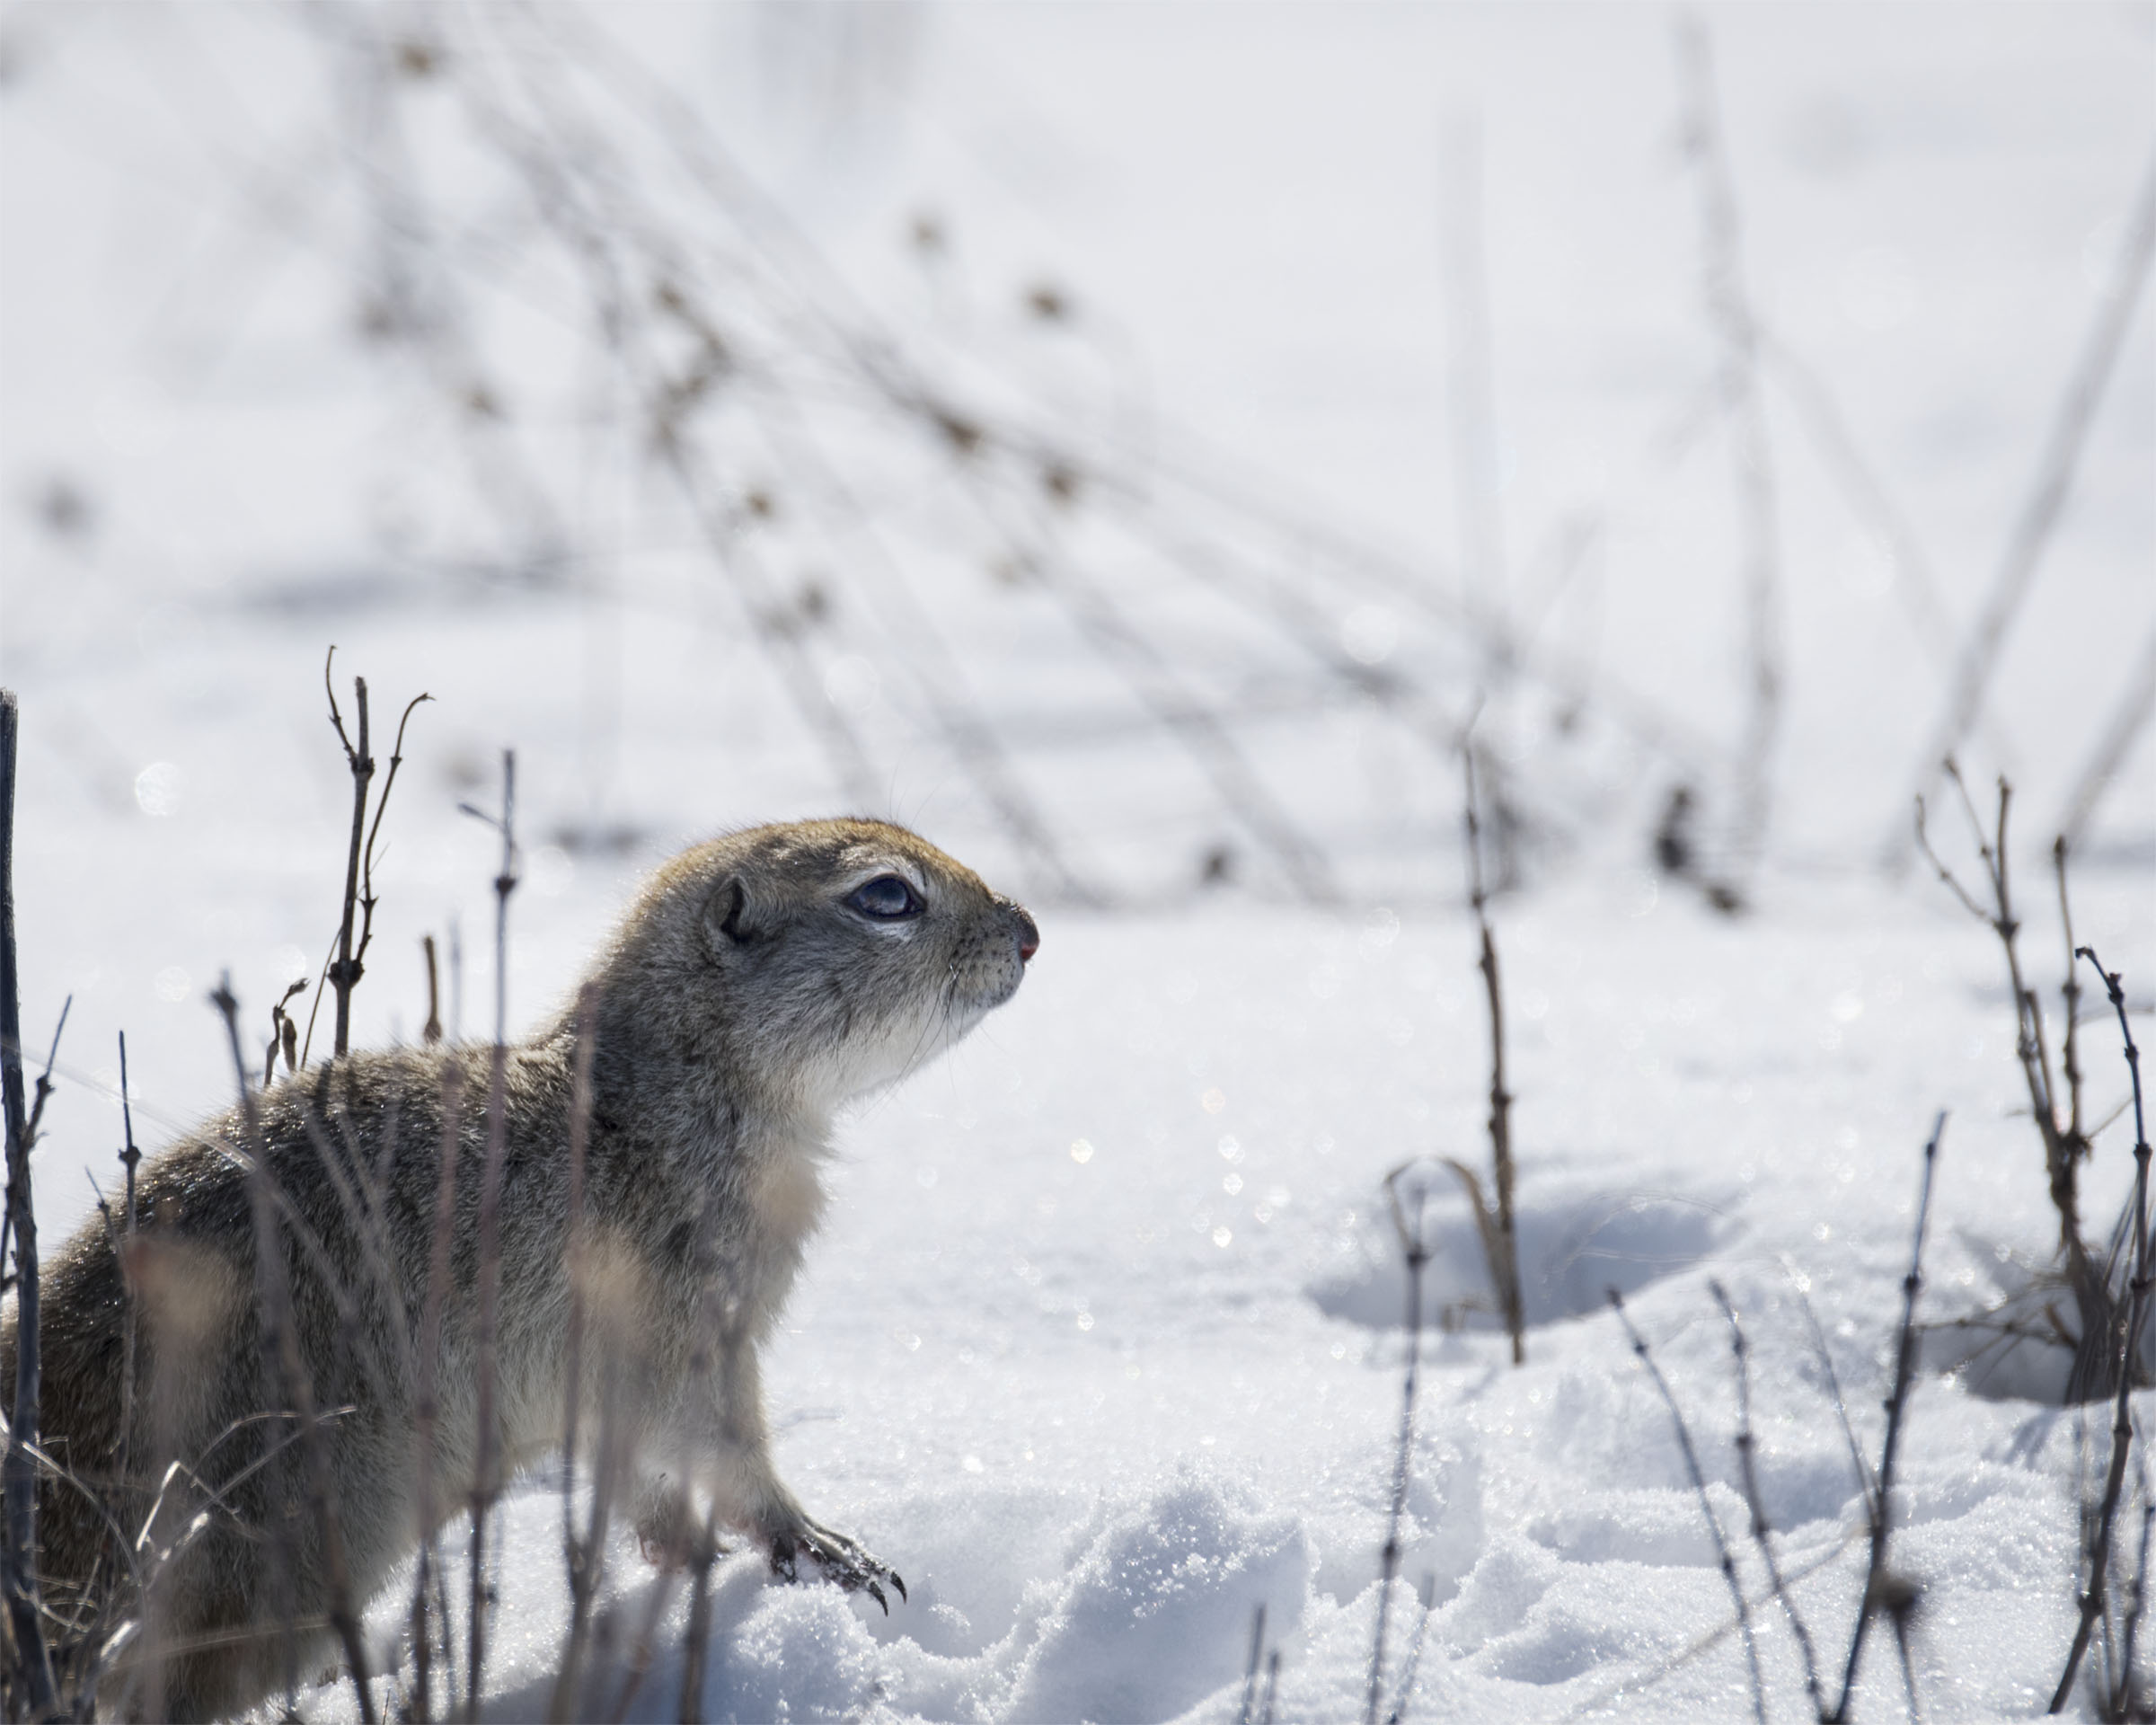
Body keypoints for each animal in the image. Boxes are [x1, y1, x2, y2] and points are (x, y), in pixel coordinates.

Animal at [2, 818, 1040, 1720]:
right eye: (886, 895)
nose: (1029, 932)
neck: (654, 1097)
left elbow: (644, 1473)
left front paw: (685, 1556)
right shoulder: (686, 1325)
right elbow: (723, 1444)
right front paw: (821, 1547)